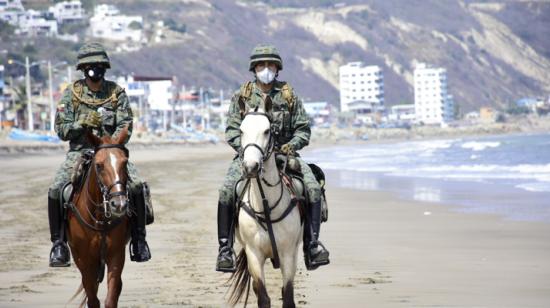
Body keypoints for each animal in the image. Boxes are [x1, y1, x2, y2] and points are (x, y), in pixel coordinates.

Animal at [66, 126, 131, 306]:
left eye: (125, 162)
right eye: (99, 165)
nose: (119, 204)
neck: (99, 218)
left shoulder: (116, 255)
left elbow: (111, 297)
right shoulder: (84, 259)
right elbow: (92, 298)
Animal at [230, 99, 304, 308]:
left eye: (266, 131)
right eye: (241, 130)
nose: (251, 167)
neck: (265, 204)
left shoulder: (288, 254)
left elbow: (288, 297)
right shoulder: (254, 255)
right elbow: (263, 298)